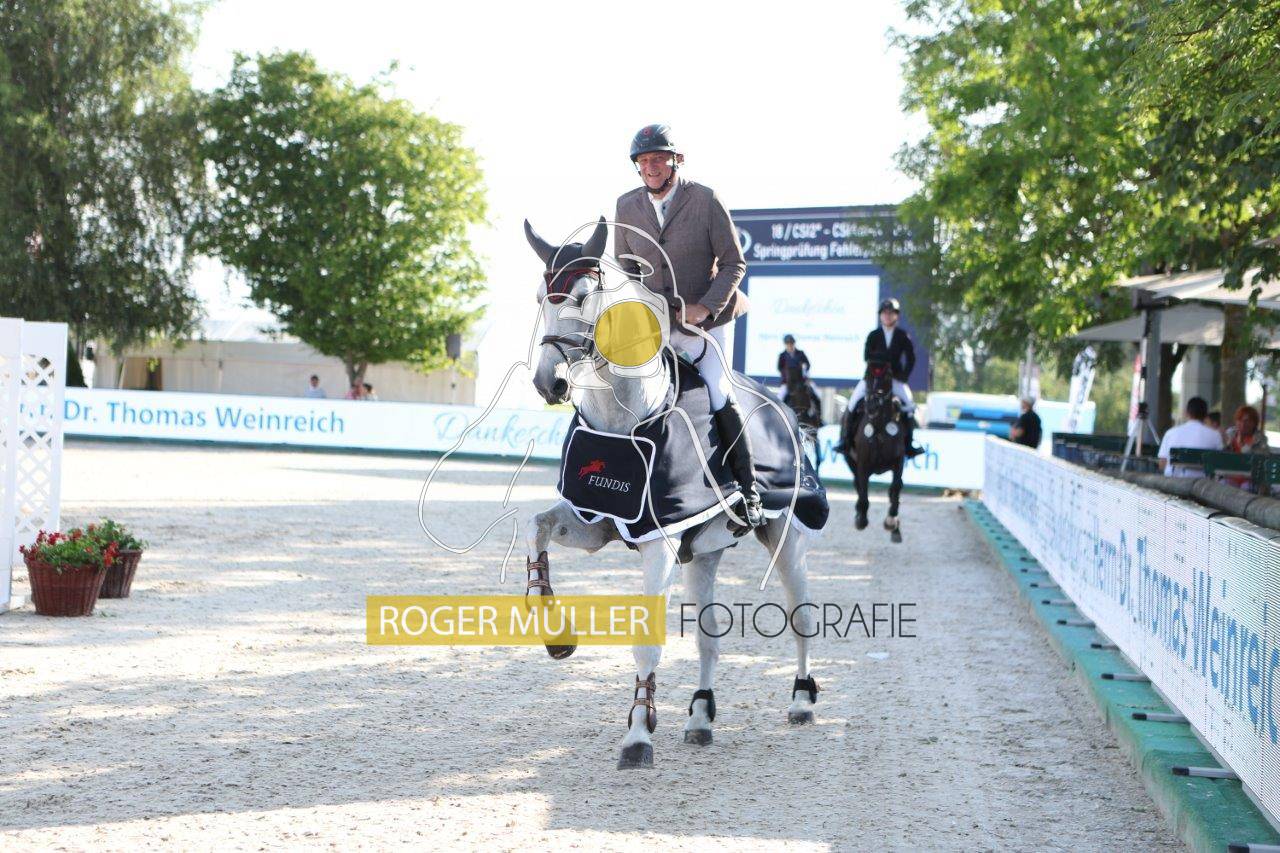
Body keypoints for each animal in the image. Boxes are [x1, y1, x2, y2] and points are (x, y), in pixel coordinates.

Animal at [522, 217, 820, 770]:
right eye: (540, 299)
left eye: (582, 297)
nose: (549, 383)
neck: (626, 418)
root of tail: (786, 412)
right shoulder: (596, 523)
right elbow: (535, 527)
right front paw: (555, 636)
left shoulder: (658, 542)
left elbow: (647, 643)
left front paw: (638, 737)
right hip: (703, 556)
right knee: (709, 640)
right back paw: (700, 717)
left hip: (787, 540)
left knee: (802, 617)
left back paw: (802, 702)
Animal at [839, 360, 906, 543]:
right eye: (866, 374)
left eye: (888, 376)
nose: (872, 406)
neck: (880, 427)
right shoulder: (863, 464)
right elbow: (863, 491)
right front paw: (861, 519)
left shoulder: (899, 461)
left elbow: (895, 488)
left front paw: (891, 521)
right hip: (850, 461)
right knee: (858, 485)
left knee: (894, 489)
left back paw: (896, 528)